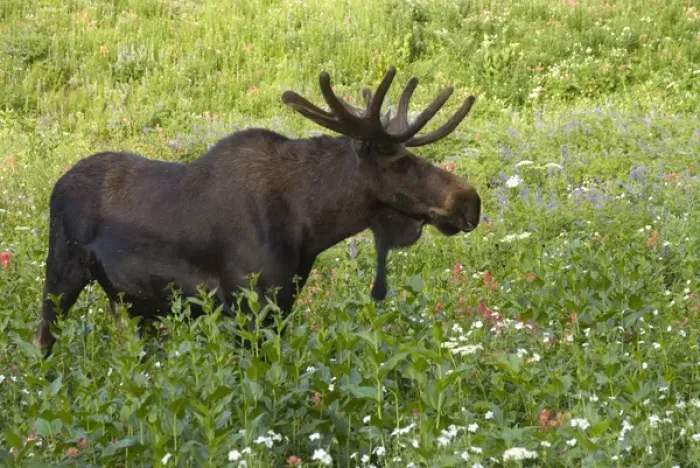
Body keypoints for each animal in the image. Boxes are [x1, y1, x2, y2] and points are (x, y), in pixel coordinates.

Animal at [36, 66, 480, 356]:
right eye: (400, 162)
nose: (470, 201)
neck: (311, 224)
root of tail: (56, 184)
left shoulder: (282, 301)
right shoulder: (248, 303)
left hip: (128, 302)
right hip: (61, 272)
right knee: (43, 341)